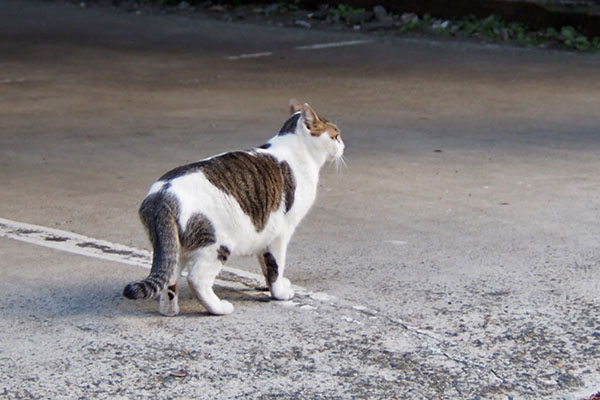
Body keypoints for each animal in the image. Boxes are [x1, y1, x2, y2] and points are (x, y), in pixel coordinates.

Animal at [122, 103, 344, 316]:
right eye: (335, 135)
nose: (343, 145)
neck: (297, 151)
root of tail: (162, 196)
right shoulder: (281, 233)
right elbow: (276, 265)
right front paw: (280, 293)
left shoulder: (265, 230)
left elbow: (266, 264)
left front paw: (269, 286)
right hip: (216, 245)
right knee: (196, 279)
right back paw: (219, 308)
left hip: (175, 249)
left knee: (169, 280)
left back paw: (170, 311)